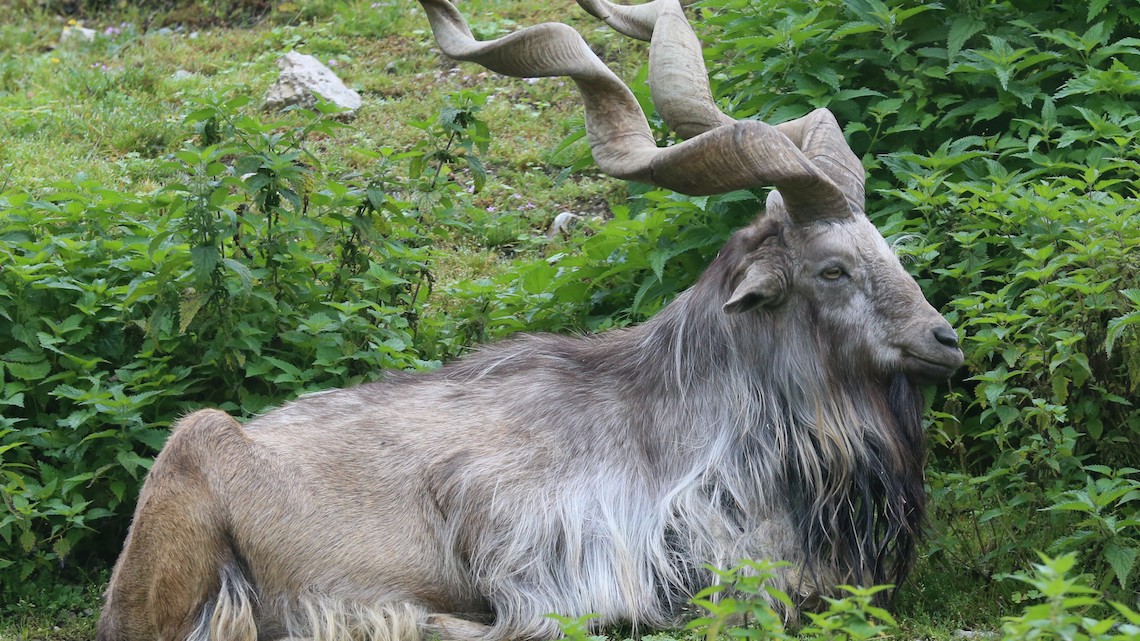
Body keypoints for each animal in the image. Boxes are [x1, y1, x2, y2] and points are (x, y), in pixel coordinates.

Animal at [95, 0, 963, 639]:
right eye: (832, 268)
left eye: (883, 247)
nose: (944, 339)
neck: (681, 416)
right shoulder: (533, 546)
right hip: (197, 455)